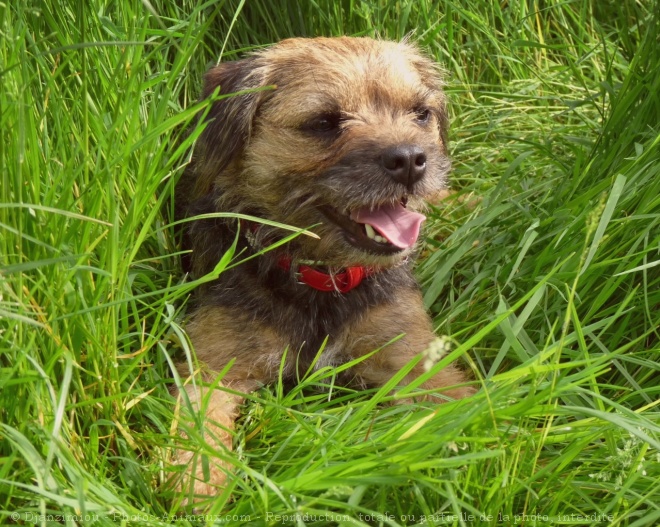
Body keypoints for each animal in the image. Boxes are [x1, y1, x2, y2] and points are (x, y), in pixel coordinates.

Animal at [173, 38, 472, 504]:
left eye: (420, 113)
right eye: (324, 122)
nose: (410, 159)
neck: (322, 277)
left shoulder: (410, 354)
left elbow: (457, 406)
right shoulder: (214, 365)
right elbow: (199, 430)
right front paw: (198, 486)